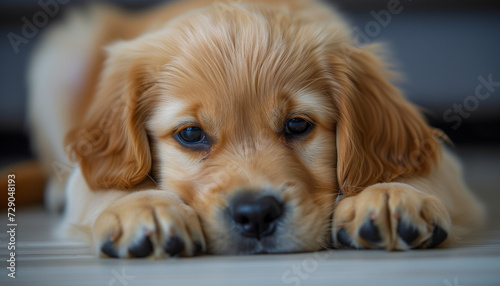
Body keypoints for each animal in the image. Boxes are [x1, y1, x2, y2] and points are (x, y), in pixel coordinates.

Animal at [28, 0, 484, 256]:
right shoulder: (97, 170)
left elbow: (414, 165)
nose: (256, 215)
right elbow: (111, 182)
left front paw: (390, 195)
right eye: (191, 134)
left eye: (297, 125)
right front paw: (145, 209)